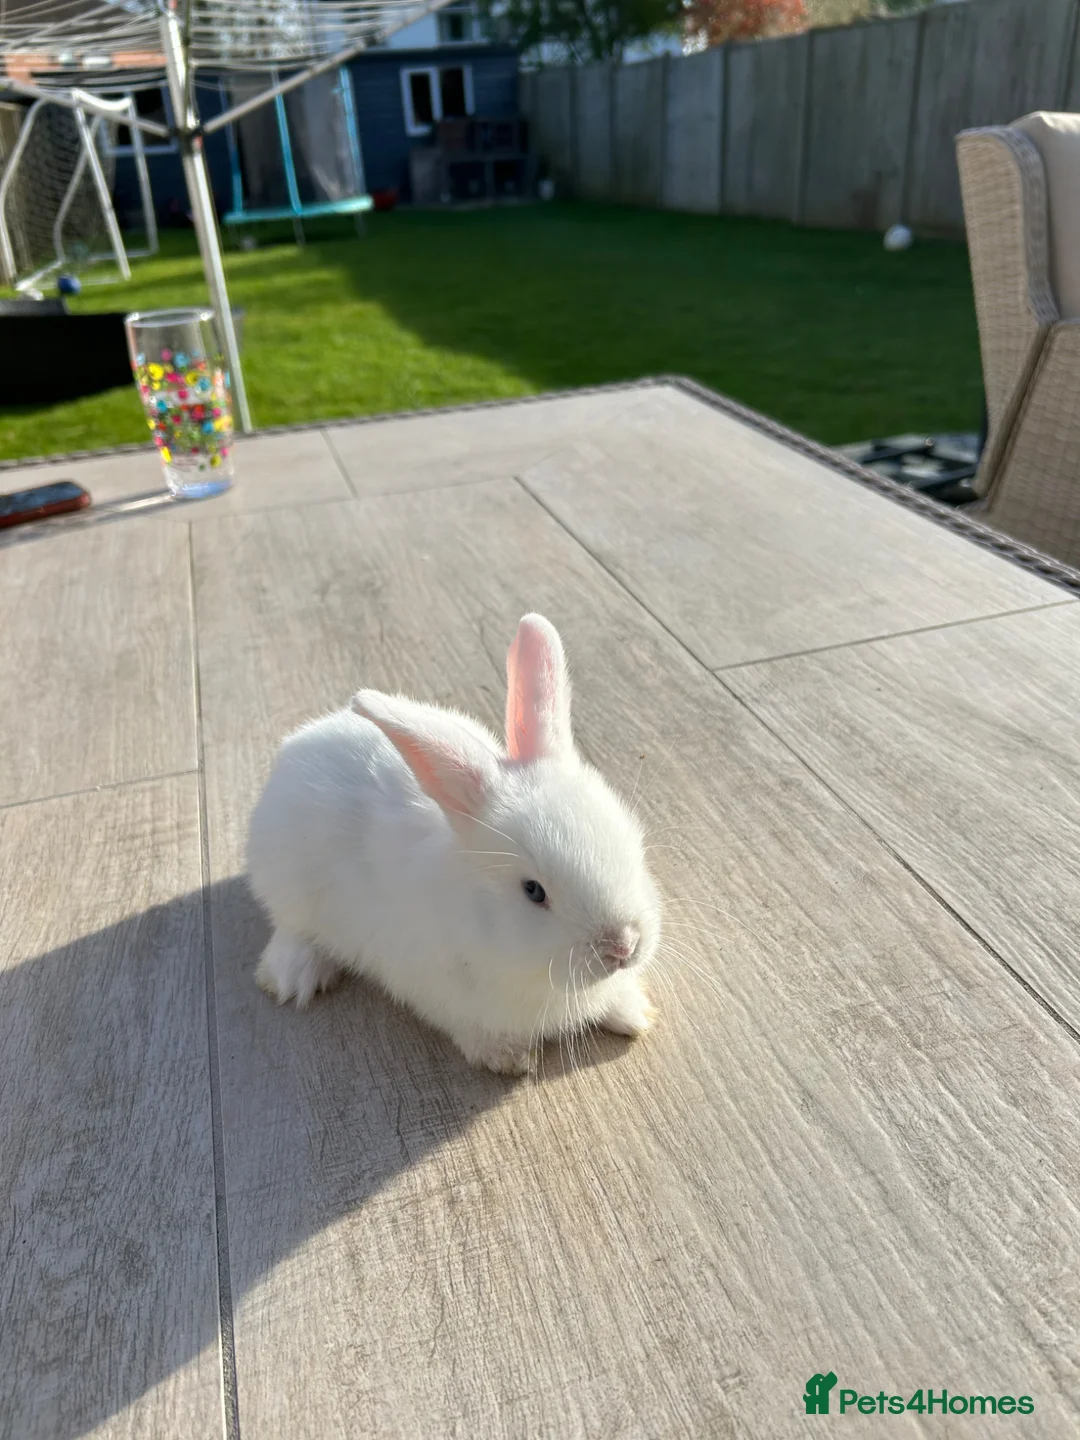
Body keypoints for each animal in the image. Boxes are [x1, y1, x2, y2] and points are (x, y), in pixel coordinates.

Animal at [246, 613, 661, 1075]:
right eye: (533, 891)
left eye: (632, 842)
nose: (623, 946)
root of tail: (305, 738)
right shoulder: (439, 992)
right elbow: (472, 1031)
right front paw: (510, 1058)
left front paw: (635, 1012)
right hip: (289, 887)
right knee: (292, 929)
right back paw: (290, 976)